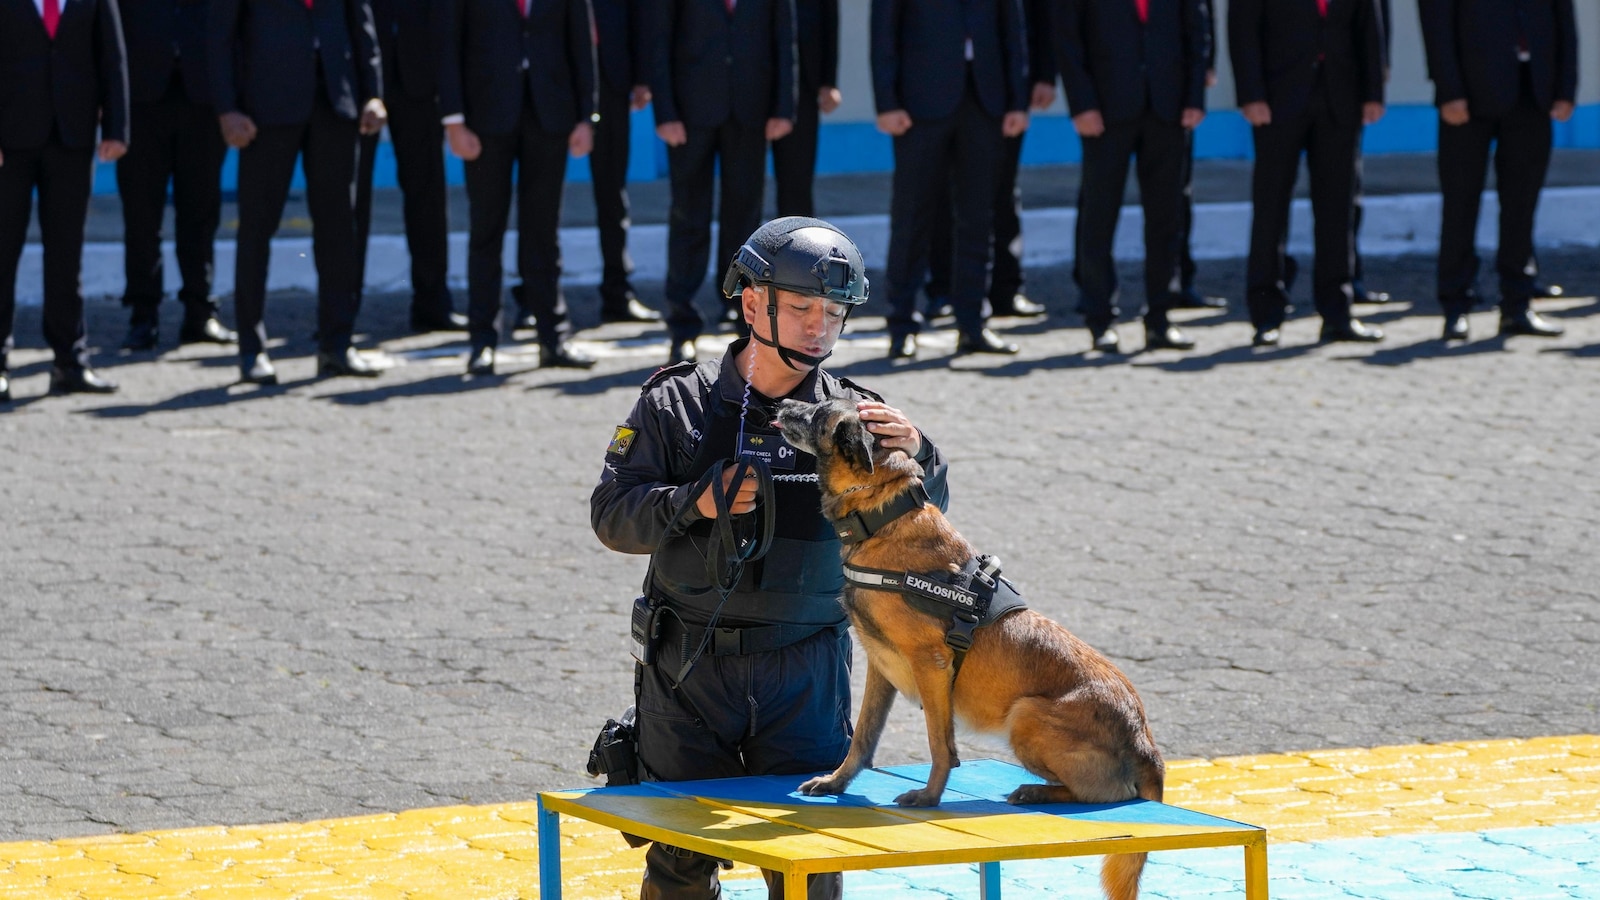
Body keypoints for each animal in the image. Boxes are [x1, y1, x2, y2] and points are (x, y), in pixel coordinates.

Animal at [774, 395, 1164, 896]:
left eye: (820, 410)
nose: (783, 402)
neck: (884, 515)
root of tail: (1145, 743)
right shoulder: (880, 668)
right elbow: (862, 737)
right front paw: (838, 782)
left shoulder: (932, 666)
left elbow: (940, 745)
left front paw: (929, 796)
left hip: (1026, 716)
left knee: (1107, 794)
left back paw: (1037, 791)